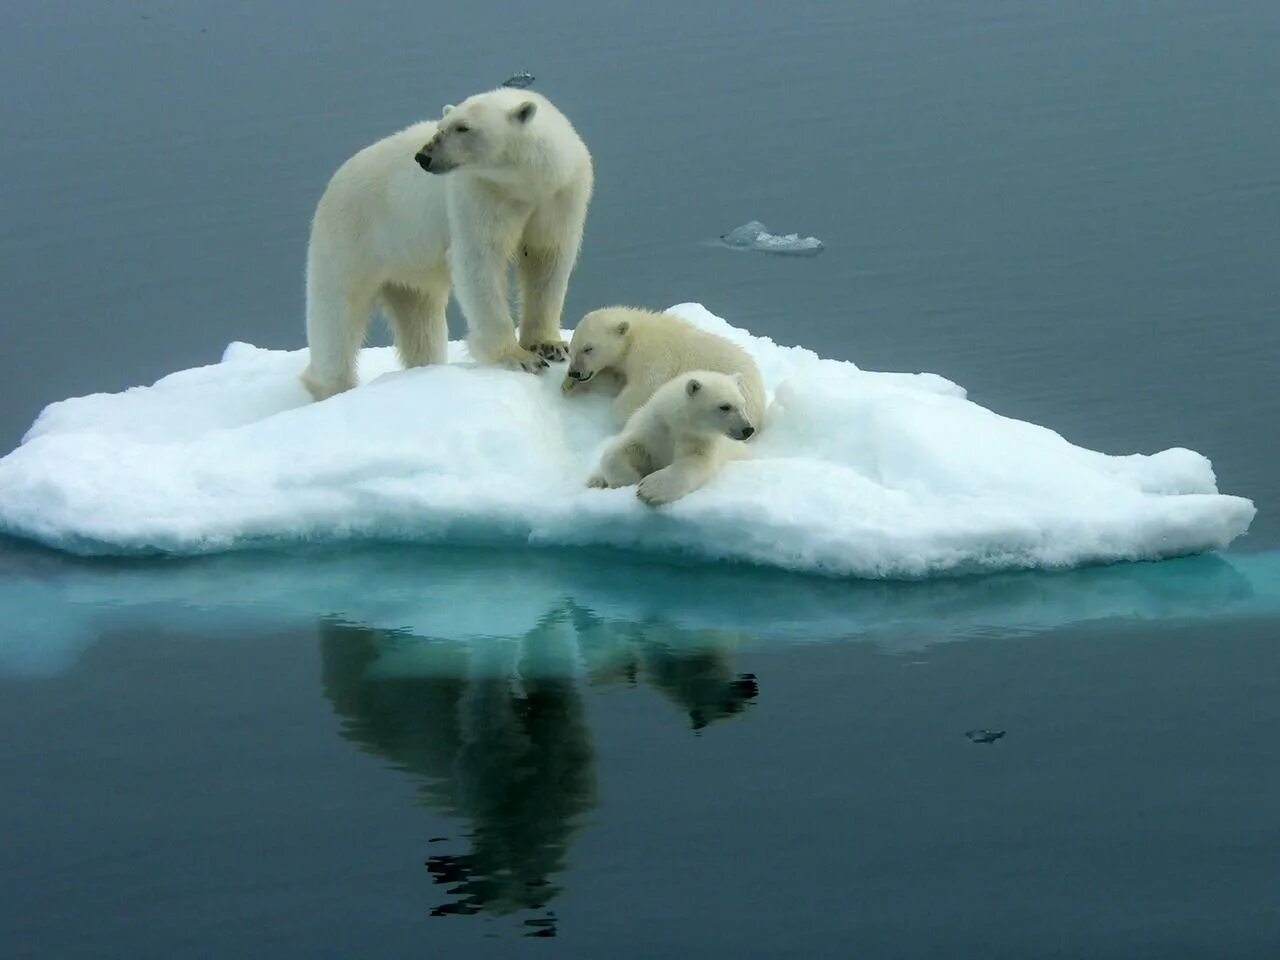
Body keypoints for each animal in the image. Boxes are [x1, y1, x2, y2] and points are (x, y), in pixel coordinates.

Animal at [299, 89, 593, 401]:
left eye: (463, 127)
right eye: (441, 127)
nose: (423, 157)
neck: (527, 182)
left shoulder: (561, 194)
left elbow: (547, 259)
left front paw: (550, 345)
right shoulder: (479, 194)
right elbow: (479, 261)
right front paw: (519, 357)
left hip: (407, 262)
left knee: (420, 318)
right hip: (351, 237)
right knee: (336, 314)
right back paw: (329, 386)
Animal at [563, 305, 762, 427]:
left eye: (588, 348)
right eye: (571, 348)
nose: (575, 373)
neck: (634, 335)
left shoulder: (652, 355)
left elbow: (645, 386)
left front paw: (627, 414)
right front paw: (570, 386)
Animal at [588, 371, 757, 512]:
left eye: (742, 404)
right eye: (725, 406)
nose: (748, 429)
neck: (675, 423)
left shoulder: (698, 440)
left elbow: (695, 462)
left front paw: (649, 489)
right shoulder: (652, 428)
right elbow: (624, 448)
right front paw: (629, 479)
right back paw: (595, 480)